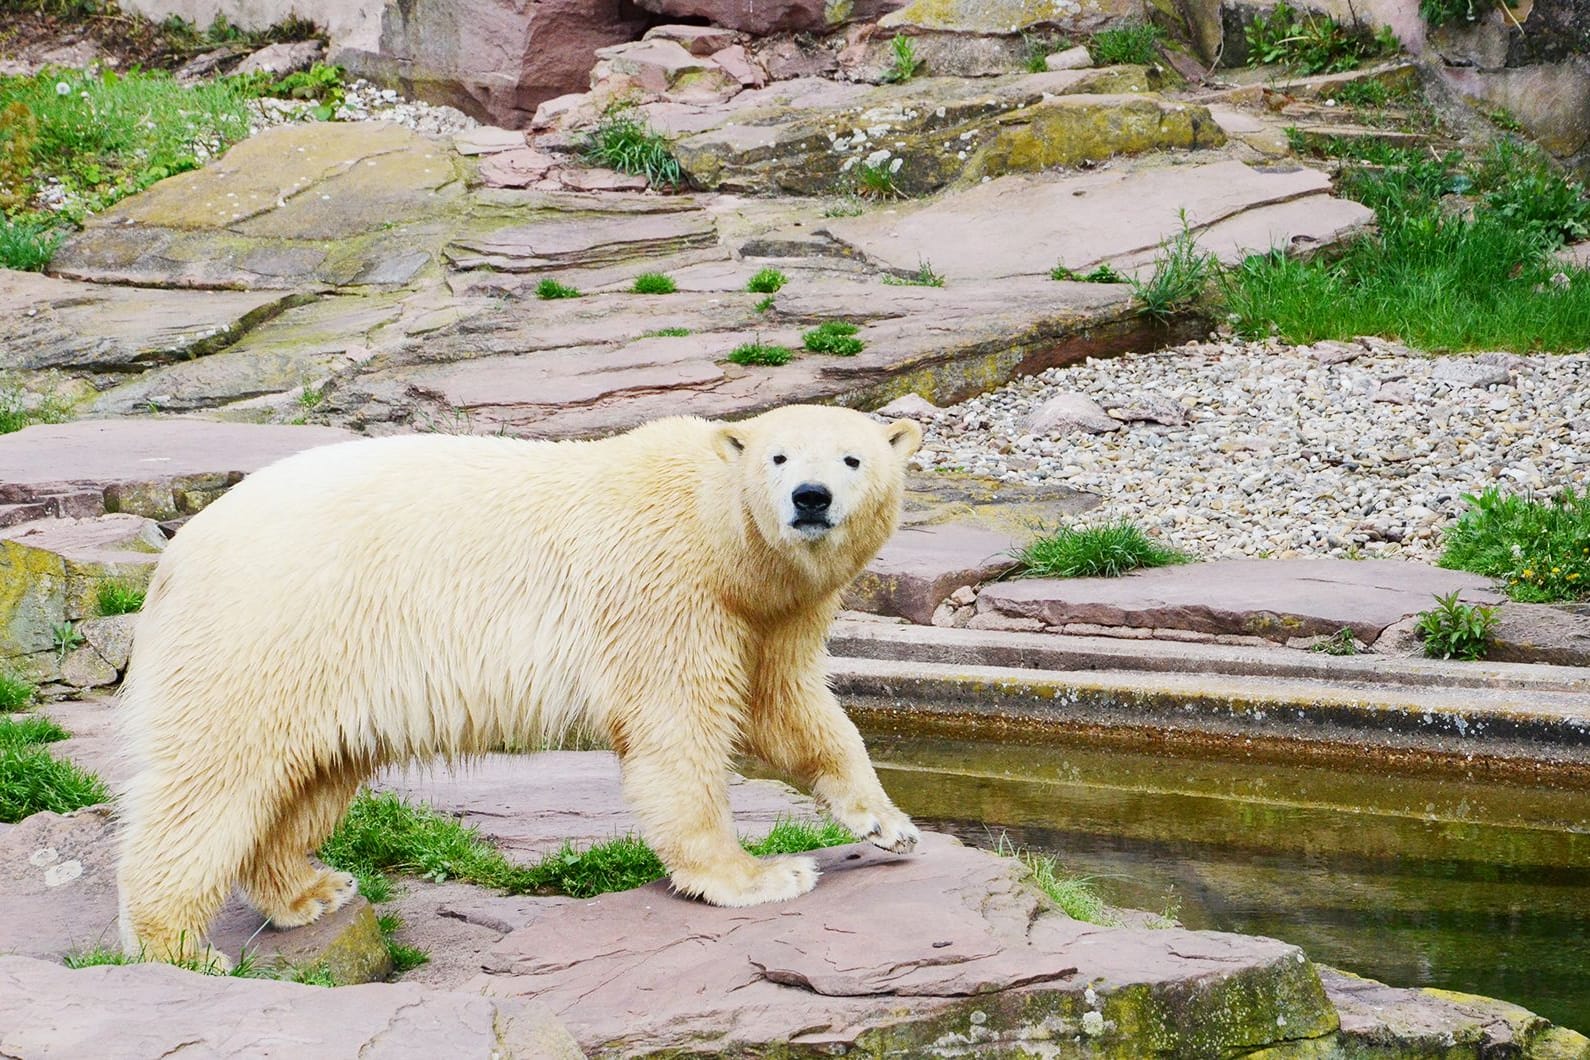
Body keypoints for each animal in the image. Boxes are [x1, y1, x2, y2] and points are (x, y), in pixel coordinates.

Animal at [115, 403, 922, 959]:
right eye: (779, 457)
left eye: (852, 459)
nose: (811, 497)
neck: (718, 535)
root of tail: (179, 553)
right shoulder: (666, 595)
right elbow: (679, 736)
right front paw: (760, 875)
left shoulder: (769, 617)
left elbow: (790, 710)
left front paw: (888, 823)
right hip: (265, 628)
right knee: (213, 779)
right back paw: (181, 946)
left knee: (310, 776)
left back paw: (311, 889)